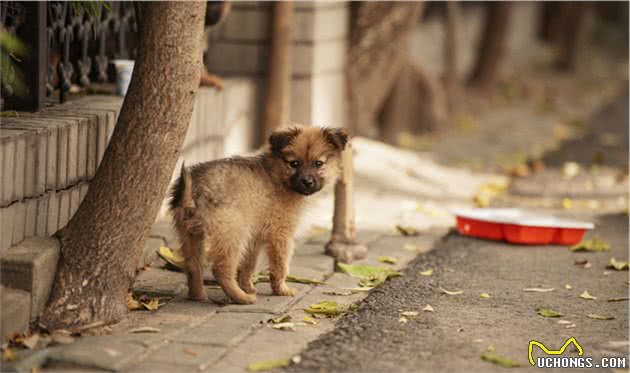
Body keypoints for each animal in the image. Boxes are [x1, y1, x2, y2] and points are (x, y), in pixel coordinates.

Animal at [170, 125, 348, 302]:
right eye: (294, 163)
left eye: (318, 163)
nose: (307, 182)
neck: (277, 175)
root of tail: (193, 190)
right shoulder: (280, 234)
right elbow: (280, 266)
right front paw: (281, 290)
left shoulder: (254, 238)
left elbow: (248, 265)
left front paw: (248, 286)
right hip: (233, 234)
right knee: (221, 269)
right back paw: (241, 298)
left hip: (191, 235)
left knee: (193, 266)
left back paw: (198, 296)